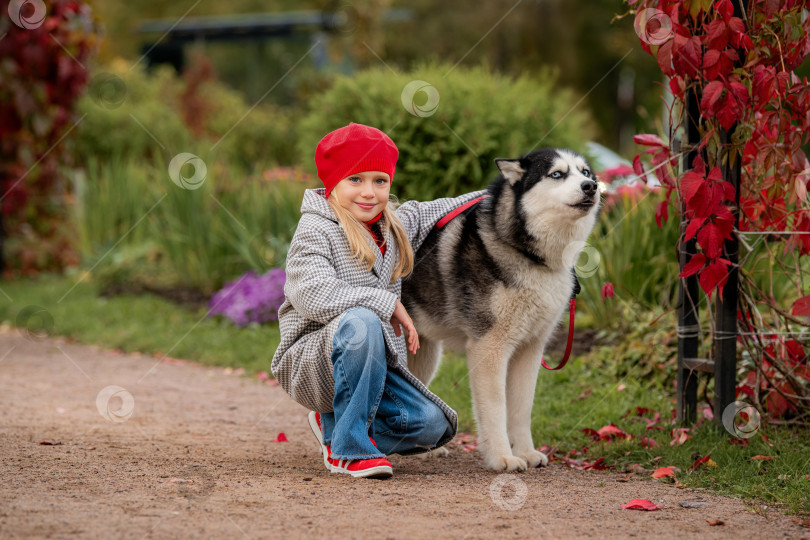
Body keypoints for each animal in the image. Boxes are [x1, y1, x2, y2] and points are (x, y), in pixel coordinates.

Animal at [400, 149, 596, 472]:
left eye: (586, 173)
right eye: (557, 174)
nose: (591, 187)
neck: (527, 254)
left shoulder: (530, 349)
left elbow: (521, 409)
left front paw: (526, 452)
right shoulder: (489, 347)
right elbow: (495, 409)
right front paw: (502, 457)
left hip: (423, 354)